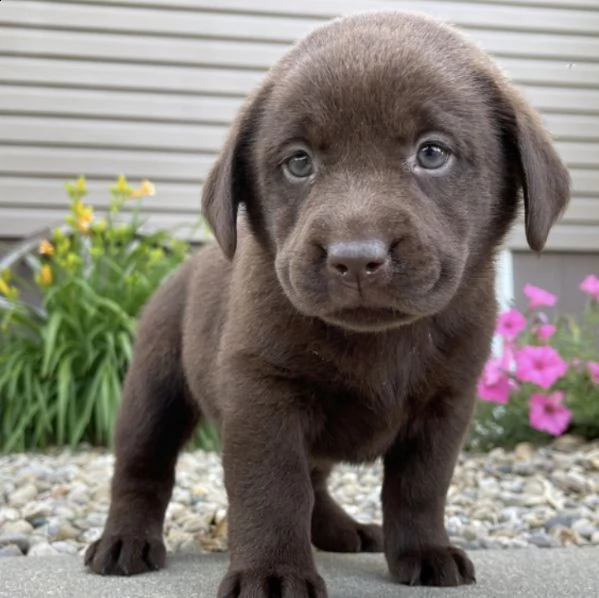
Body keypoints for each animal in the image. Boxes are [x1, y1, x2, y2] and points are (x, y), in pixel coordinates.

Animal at [83, 10, 568, 598]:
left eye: (432, 152)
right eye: (299, 163)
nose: (355, 259)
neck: (379, 338)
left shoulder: (448, 401)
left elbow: (420, 486)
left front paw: (425, 550)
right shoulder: (262, 393)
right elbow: (273, 489)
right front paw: (272, 573)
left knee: (316, 480)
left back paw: (342, 529)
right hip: (153, 388)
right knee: (141, 468)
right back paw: (125, 540)